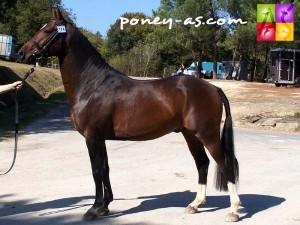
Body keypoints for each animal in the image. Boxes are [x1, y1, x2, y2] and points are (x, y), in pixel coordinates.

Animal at [18, 7, 241, 222]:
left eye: (48, 30)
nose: (22, 53)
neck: (93, 84)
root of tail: (213, 88)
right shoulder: (100, 138)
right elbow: (105, 169)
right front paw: (104, 206)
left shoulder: (92, 137)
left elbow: (96, 171)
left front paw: (94, 209)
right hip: (190, 135)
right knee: (202, 163)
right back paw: (195, 204)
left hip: (207, 134)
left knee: (225, 163)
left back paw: (233, 210)